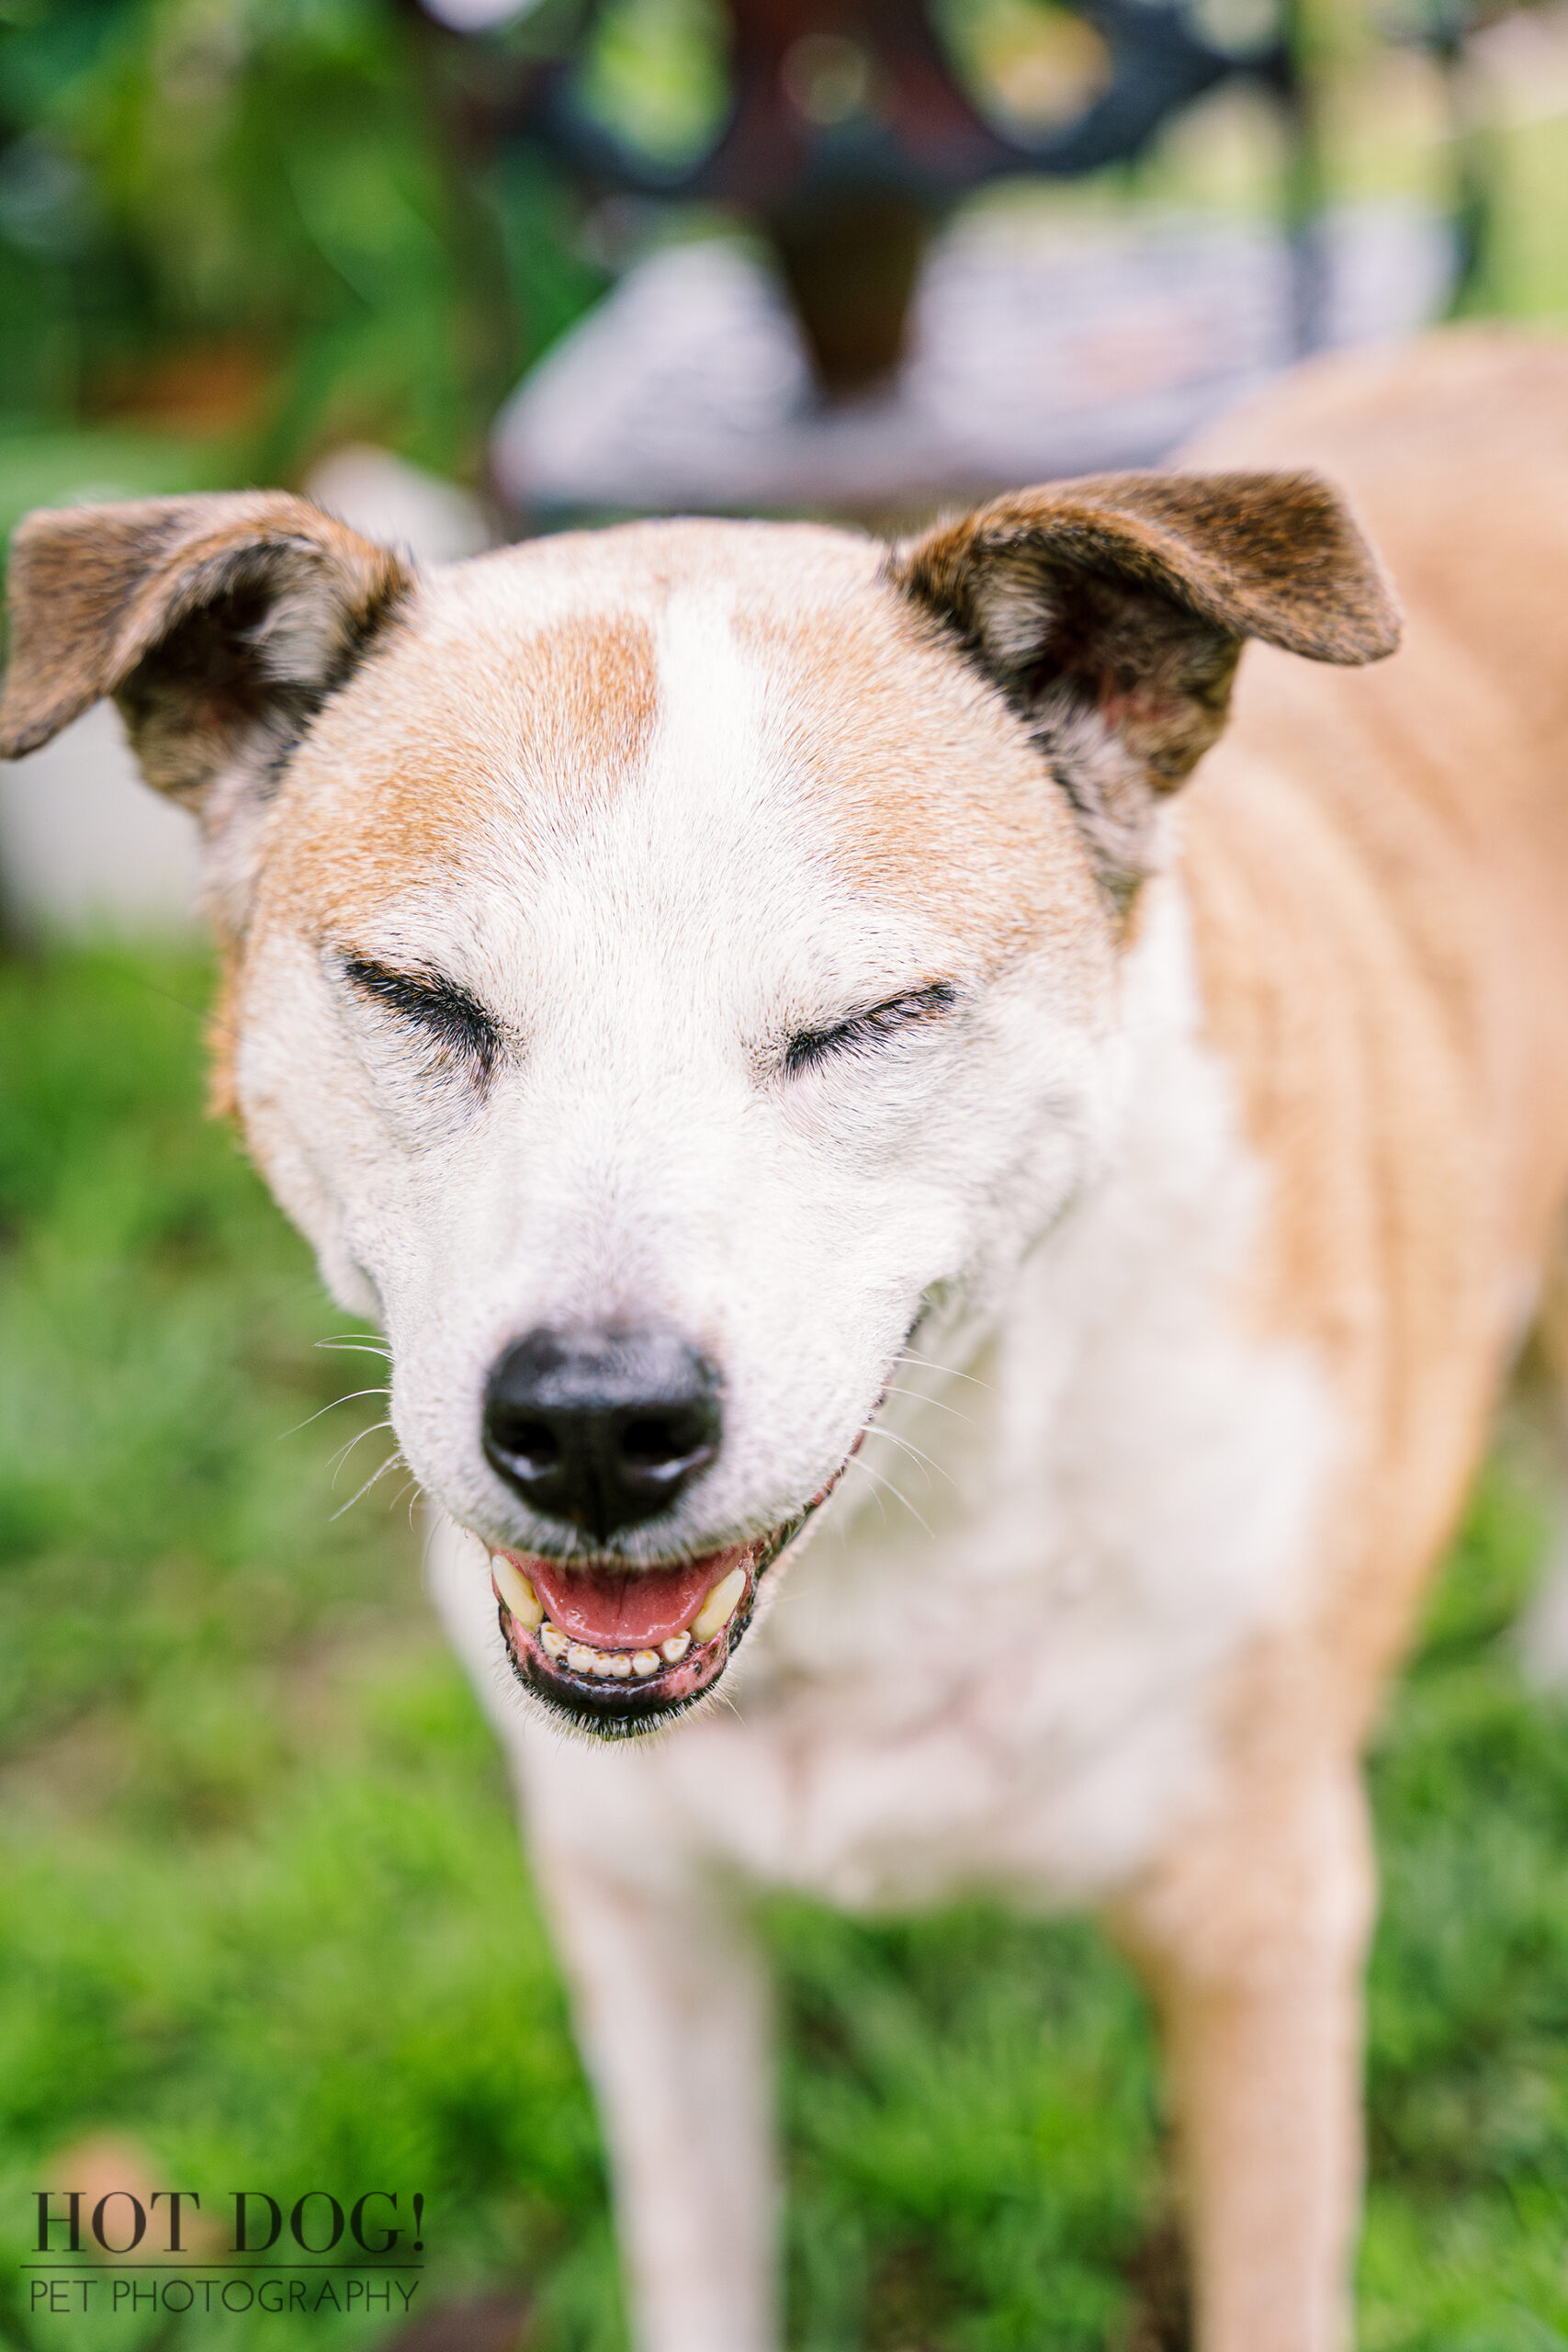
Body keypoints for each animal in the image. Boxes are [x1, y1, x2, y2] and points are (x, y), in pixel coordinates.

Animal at [6, 336, 1561, 2352]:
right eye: (417, 997)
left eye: (871, 1016)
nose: (594, 1422)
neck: (917, 1527)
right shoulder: (643, 1917)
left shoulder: (1261, 1929)